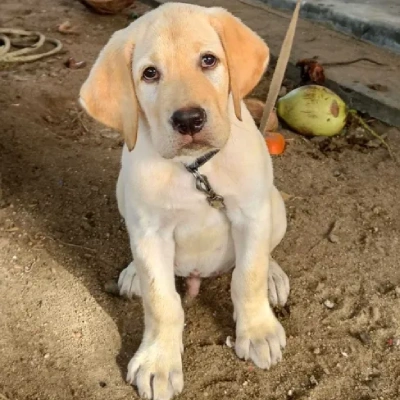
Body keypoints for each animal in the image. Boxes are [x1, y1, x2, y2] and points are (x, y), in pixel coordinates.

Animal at [79, 1, 290, 398]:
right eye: (149, 74)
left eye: (208, 60)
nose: (189, 120)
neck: (193, 169)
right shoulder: (149, 231)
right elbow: (162, 300)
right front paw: (158, 361)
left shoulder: (252, 214)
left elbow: (249, 275)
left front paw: (257, 331)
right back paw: (133, 274)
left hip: (275, 205)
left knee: (265, 253)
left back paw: (274, 276)